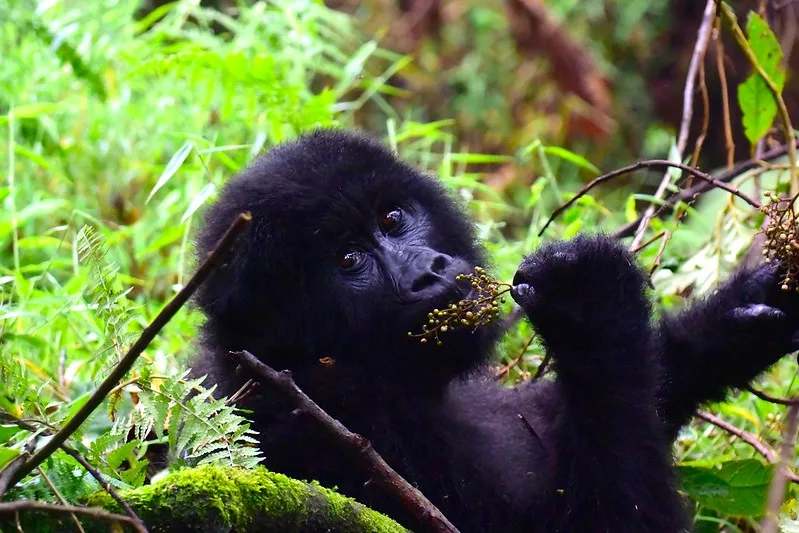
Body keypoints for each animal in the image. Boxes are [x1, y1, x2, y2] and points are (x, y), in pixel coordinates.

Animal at [191, 130, 799, 532]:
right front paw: (592, 308)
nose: (428, 271)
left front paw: (740, 319)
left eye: (392, 219)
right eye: (347, 260)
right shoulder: (320, 433)